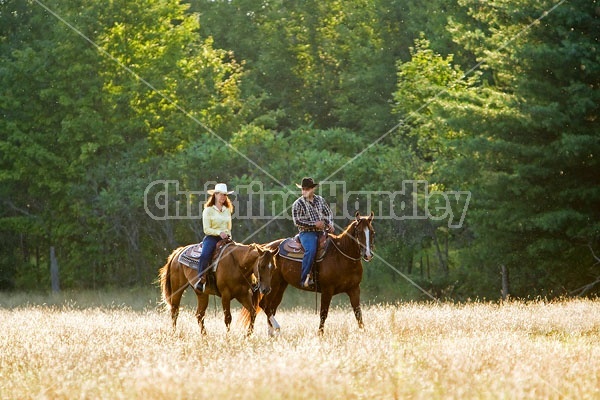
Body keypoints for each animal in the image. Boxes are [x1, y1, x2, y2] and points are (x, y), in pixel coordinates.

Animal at [240, 212, 372, 334]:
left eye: (372, 232)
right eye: (359, 232)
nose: (368, 254)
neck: (342, 256)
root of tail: (266, 248)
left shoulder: (354, 289)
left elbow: (358, 314)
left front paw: (363, 333)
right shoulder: (327, 290)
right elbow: (323, 314)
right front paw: (320, 335)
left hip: (280, 286)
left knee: (271, 308)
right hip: (271, 285)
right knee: (264, 305)